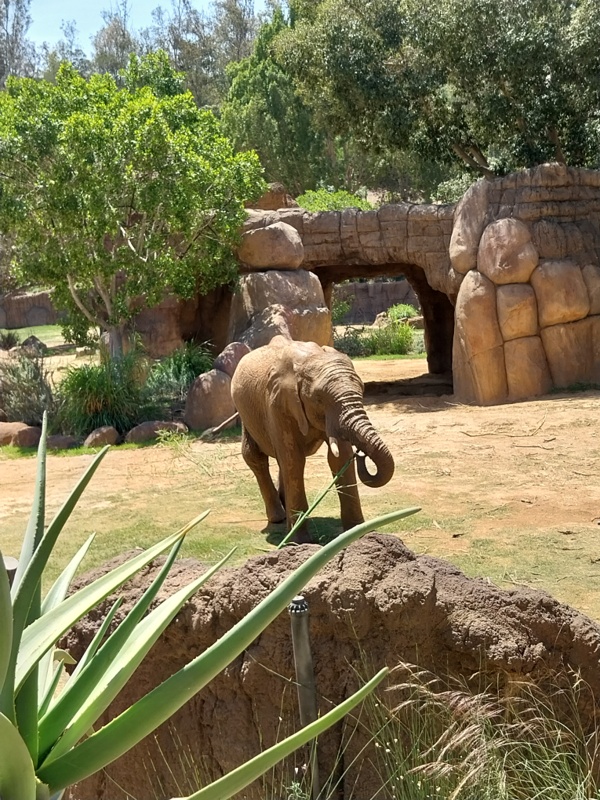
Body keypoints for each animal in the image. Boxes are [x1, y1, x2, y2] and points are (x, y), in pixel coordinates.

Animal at [231, 335, 395, 543]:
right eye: (318, 399)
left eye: (362, 390)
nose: (361, 454)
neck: (310, 359)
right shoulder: (278, 404)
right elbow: (294, 459)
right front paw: (298, 542)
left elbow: (339, 458)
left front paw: (356, 534)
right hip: (245, 413)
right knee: (255, 457)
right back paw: (278, 518)